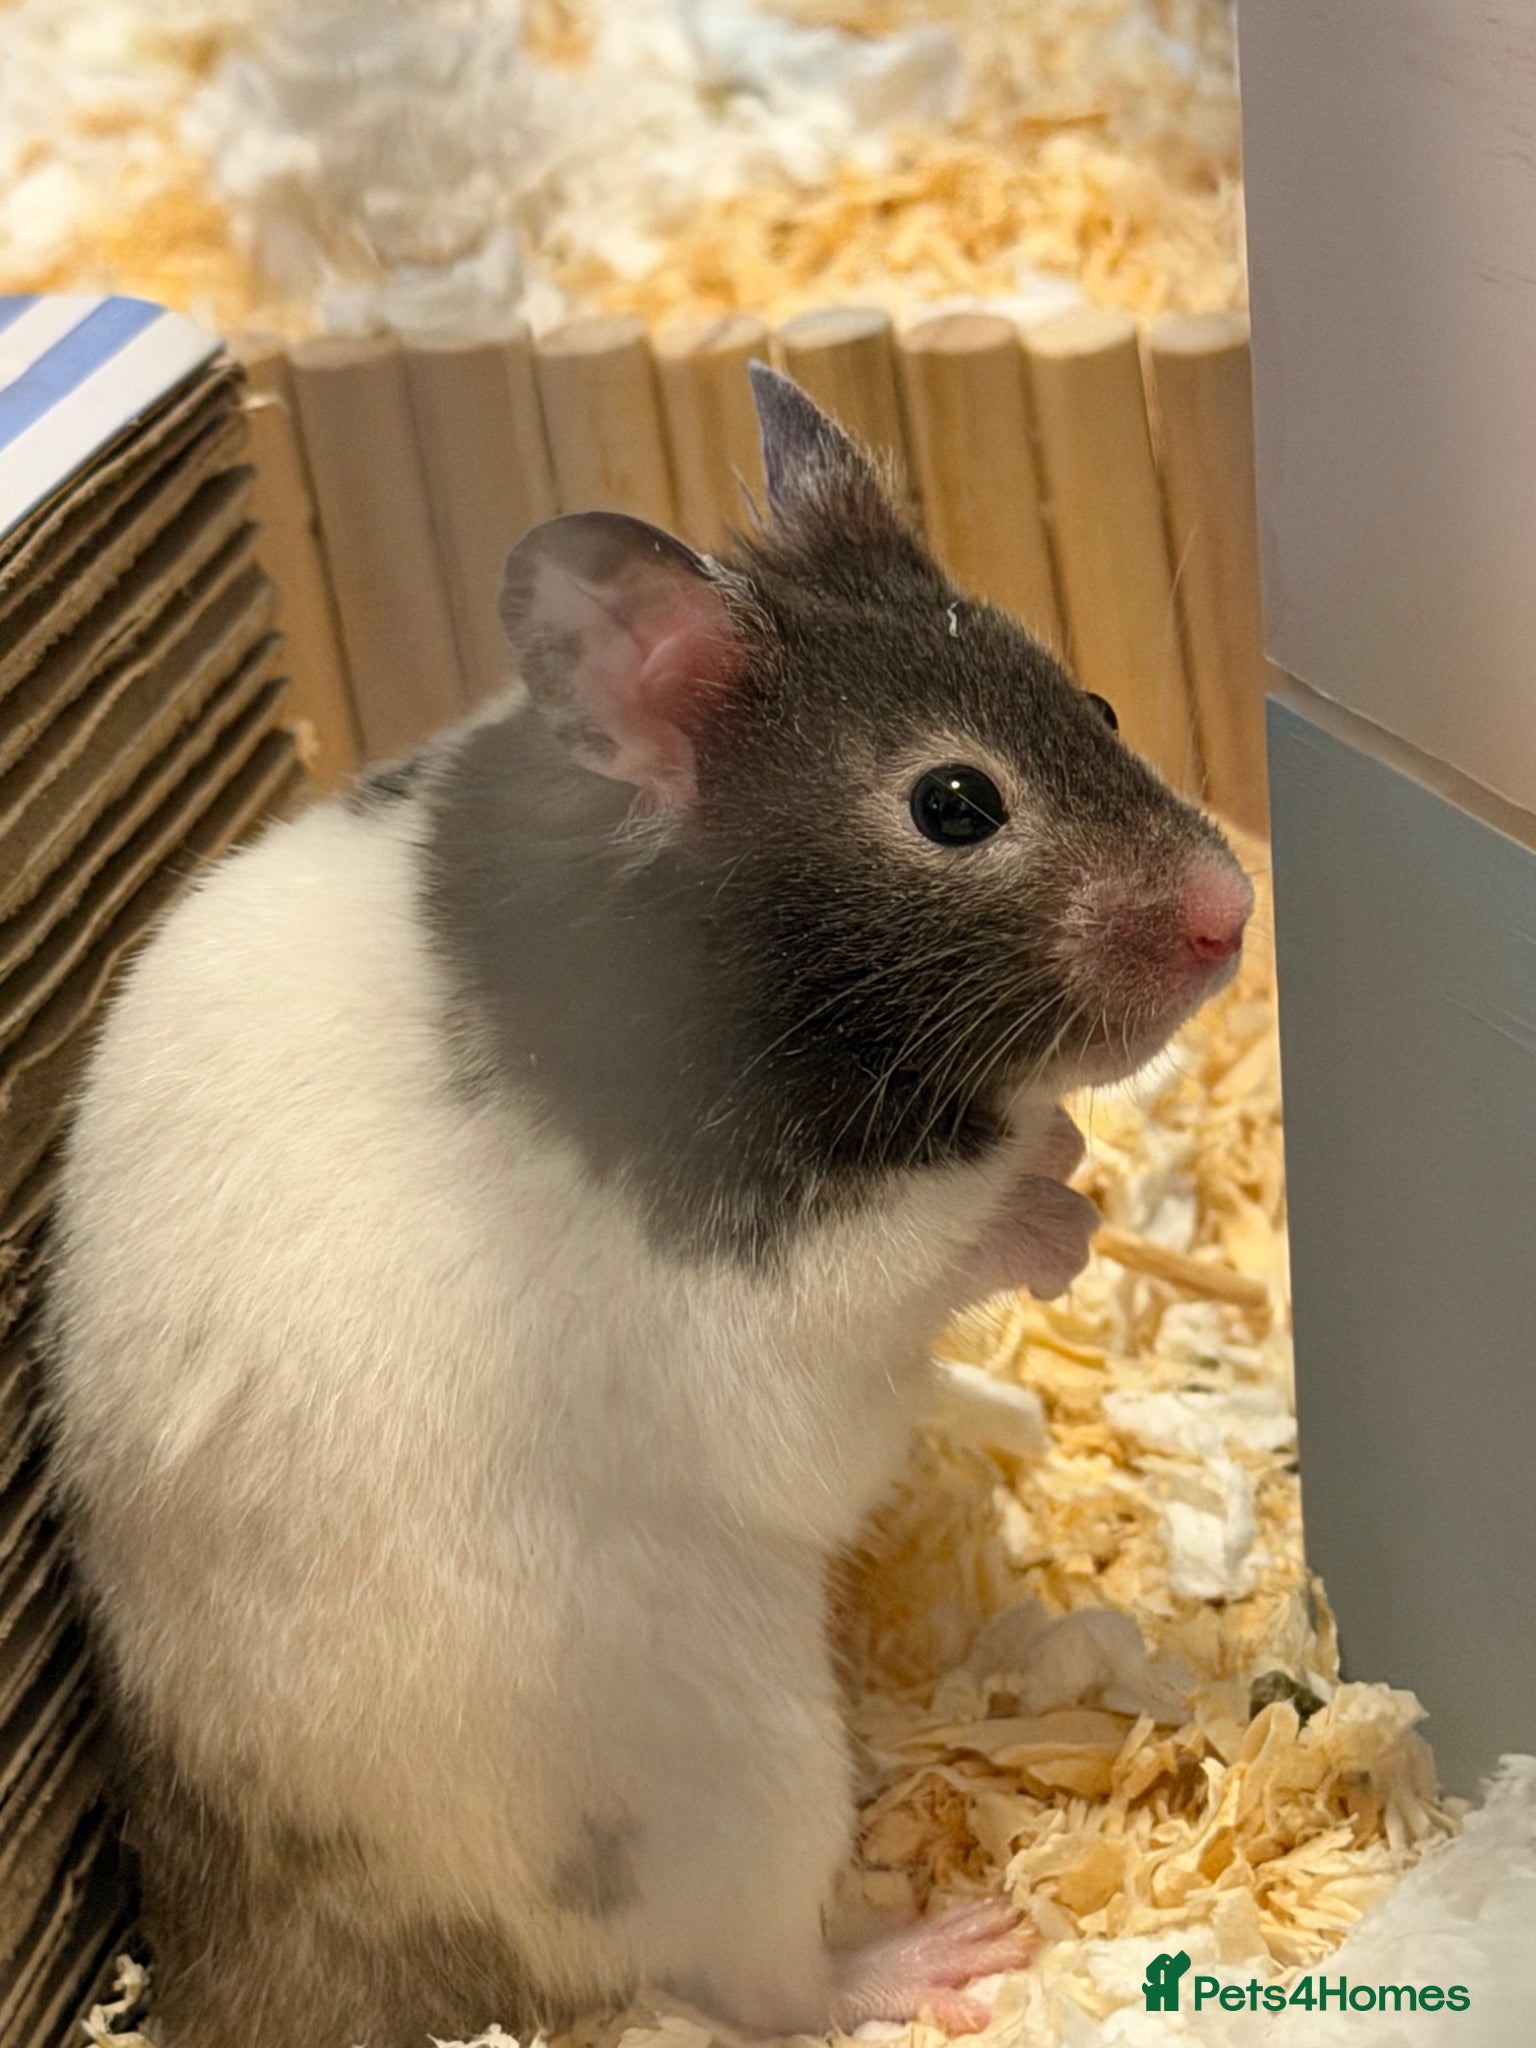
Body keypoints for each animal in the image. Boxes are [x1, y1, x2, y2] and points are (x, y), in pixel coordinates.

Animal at [44, 367, 1252, 2048]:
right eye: (956, 804)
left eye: (1103, 707)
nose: (1235, 915)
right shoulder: (779, 1324)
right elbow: (932, 1252)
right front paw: (1057, 1212)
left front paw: (1068, 1151)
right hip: (745, 1762)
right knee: (761, 1983)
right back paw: (951, 1953)